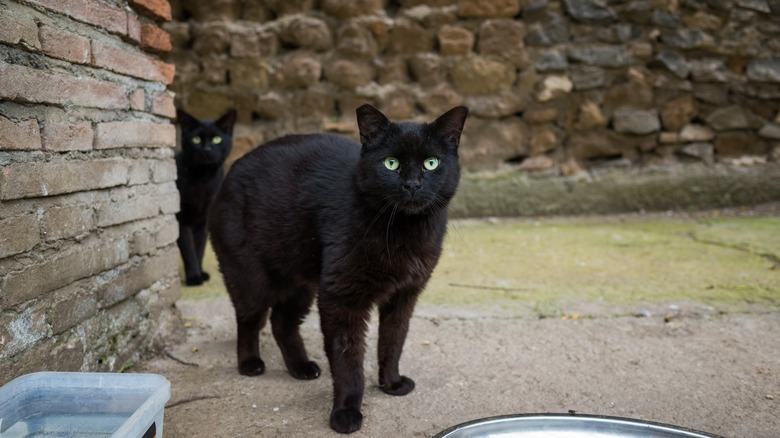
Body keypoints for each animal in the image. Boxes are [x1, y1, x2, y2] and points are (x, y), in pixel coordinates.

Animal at [175, 109, 236, 286]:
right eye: (196, 139)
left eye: (217, 139)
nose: (207, 149)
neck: (203, 180)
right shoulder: (182, 220)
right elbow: (189, 250)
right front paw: (194, 277)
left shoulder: (203, 222)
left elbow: (199, 249)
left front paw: (201, 273)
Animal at [206, 104, 470, 432]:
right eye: (391, 163)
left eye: (431, 163)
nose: (412, 185)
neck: (403, 231)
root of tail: (229, 173)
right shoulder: (341, 295)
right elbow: (348, 359)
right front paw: (345, 412)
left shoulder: (404, 295)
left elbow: (393, 341)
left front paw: (391, 384)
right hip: (248, 276)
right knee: (249, 319)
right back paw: (249, 363)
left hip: (301, 283)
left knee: (282, 322)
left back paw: (301, 367)